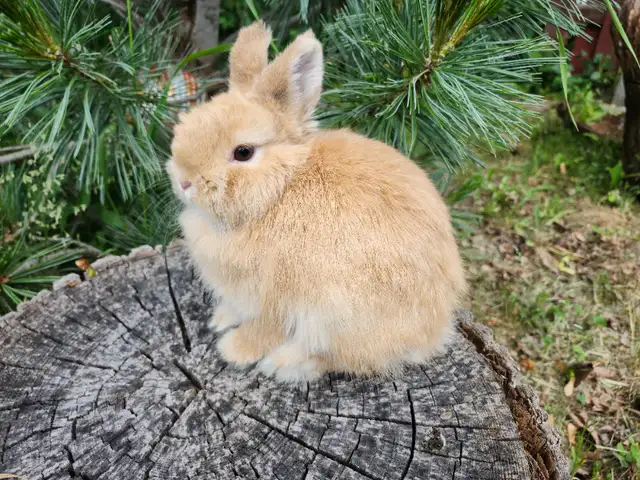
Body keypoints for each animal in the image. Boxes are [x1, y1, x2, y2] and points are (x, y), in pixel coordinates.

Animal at [166, 20, 466, 383]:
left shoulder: (276, 299)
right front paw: (220, 319)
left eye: (243, 152)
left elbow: (263, 331)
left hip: (340, 318)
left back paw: (284, 365)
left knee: (342, 359)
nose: (184, 182)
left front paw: (233, 350)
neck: (279, 191)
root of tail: (434, 332)